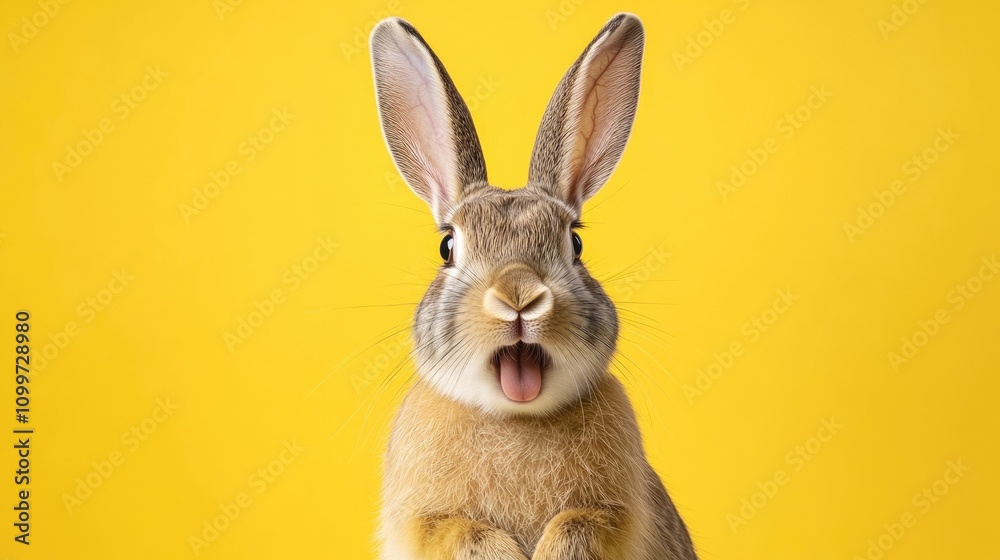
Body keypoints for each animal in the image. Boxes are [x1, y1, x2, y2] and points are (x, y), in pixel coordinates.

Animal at [369, 12, 697, 560]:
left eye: (576, 244)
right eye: (447, 248)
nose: (519, 296)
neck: (515, 418)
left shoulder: (616, 514)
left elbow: (578, 523)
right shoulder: (426, 521)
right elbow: (460, 532)